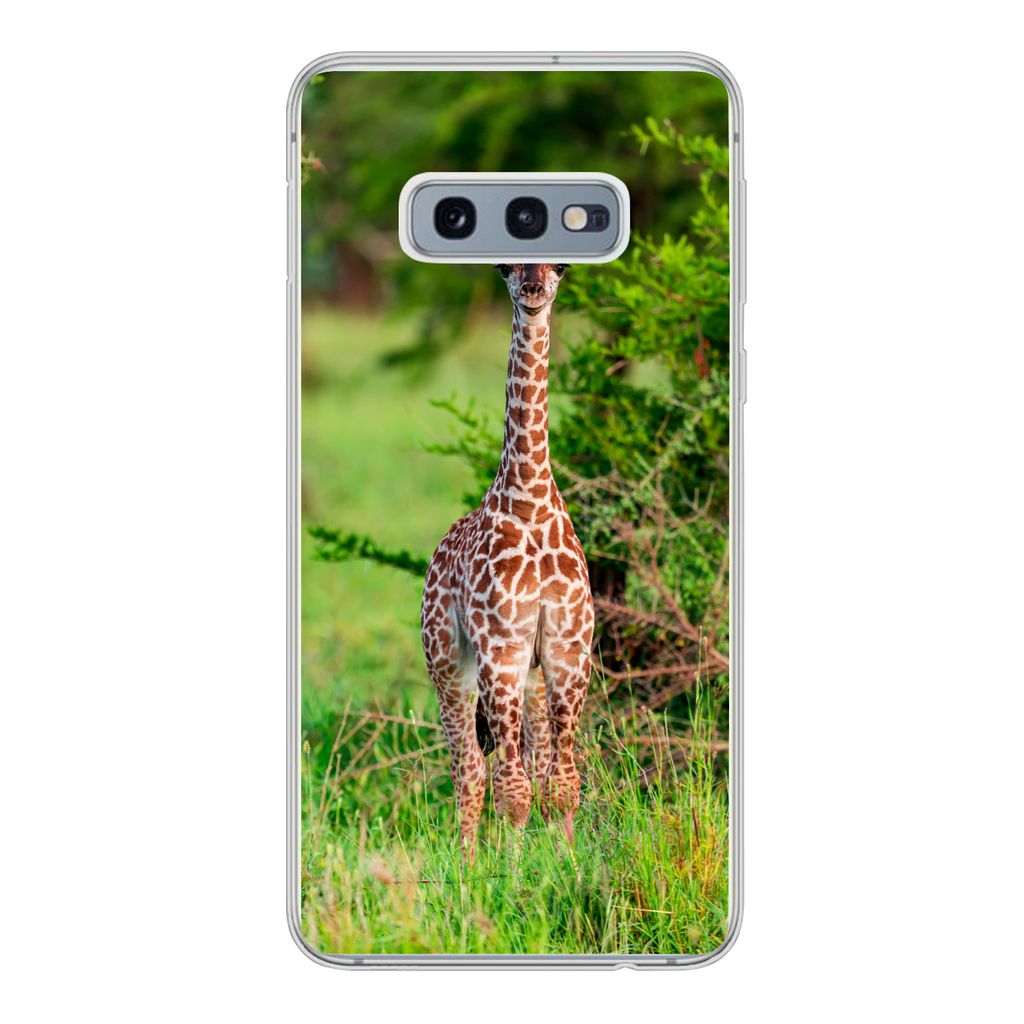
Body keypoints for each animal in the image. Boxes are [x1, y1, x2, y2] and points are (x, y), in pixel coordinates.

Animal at [420, 263, 595, 863]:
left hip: (532, 679)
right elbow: (512, 791)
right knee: (471, 769)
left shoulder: (568, 651)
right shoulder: (500, 650)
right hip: (448, 665)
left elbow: (561, 784)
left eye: (561, 267)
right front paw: (514, 875)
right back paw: (468, 866)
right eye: (505, 268)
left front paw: (566, 866)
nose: (534, 292)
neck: (530, 496)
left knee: (532, 766)